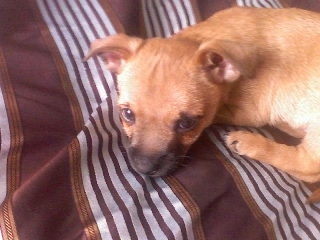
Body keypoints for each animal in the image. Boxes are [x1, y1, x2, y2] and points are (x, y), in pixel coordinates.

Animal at [85, 7, 320, 202]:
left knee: (309, 166)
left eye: (187, 123)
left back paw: (251, 143)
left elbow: (218, 113)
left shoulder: (248, 111)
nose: (144, 167)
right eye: (127, 114)